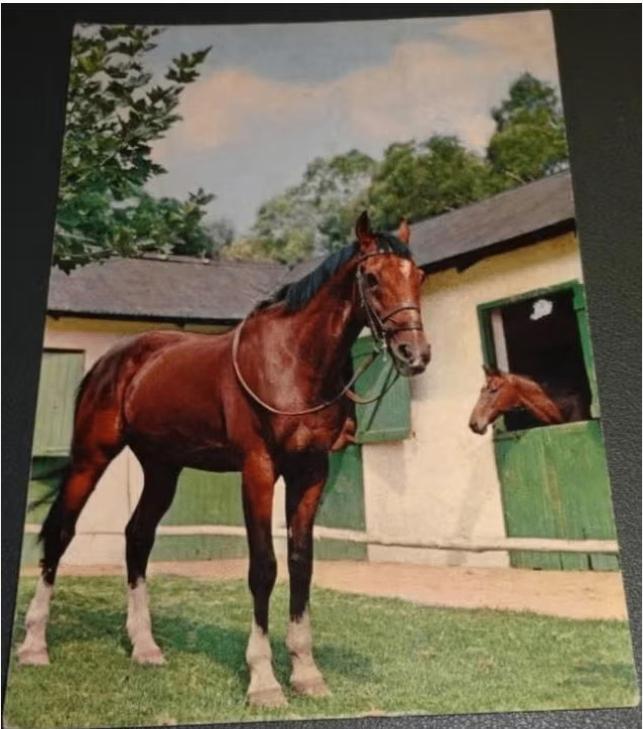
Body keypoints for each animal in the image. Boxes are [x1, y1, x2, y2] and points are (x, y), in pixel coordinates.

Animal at [18, 211, 430, 708]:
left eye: (418, 276)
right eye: (371, 278)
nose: (415, 354)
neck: (292, 361)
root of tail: (114, 360)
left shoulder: (310, 471)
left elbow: (301, 563)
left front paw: (306, 672)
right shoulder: (258, 470)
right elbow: (264, 567)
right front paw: (264, 680)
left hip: (162, 469)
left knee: (138, 537)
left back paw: (145, 647)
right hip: (91, 456)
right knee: (61, 532)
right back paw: (34, 645)